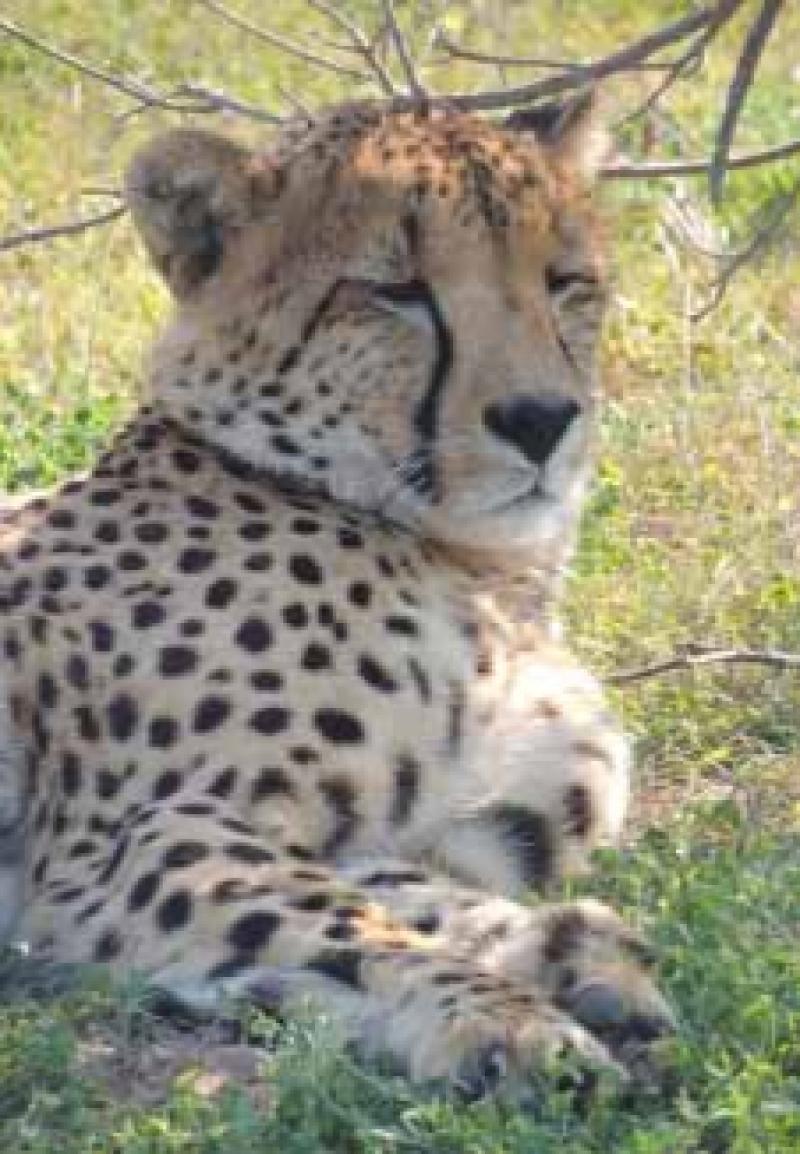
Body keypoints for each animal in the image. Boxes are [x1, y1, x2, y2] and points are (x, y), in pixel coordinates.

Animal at [0, 96, 674, 1089]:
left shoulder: (385, 830)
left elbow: (410, 894)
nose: (542, 420)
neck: (476, 570)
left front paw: (567, 952)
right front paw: (507, 1022)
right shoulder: (127, 842)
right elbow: (352, 928)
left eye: (566, 282)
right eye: (395, 292)